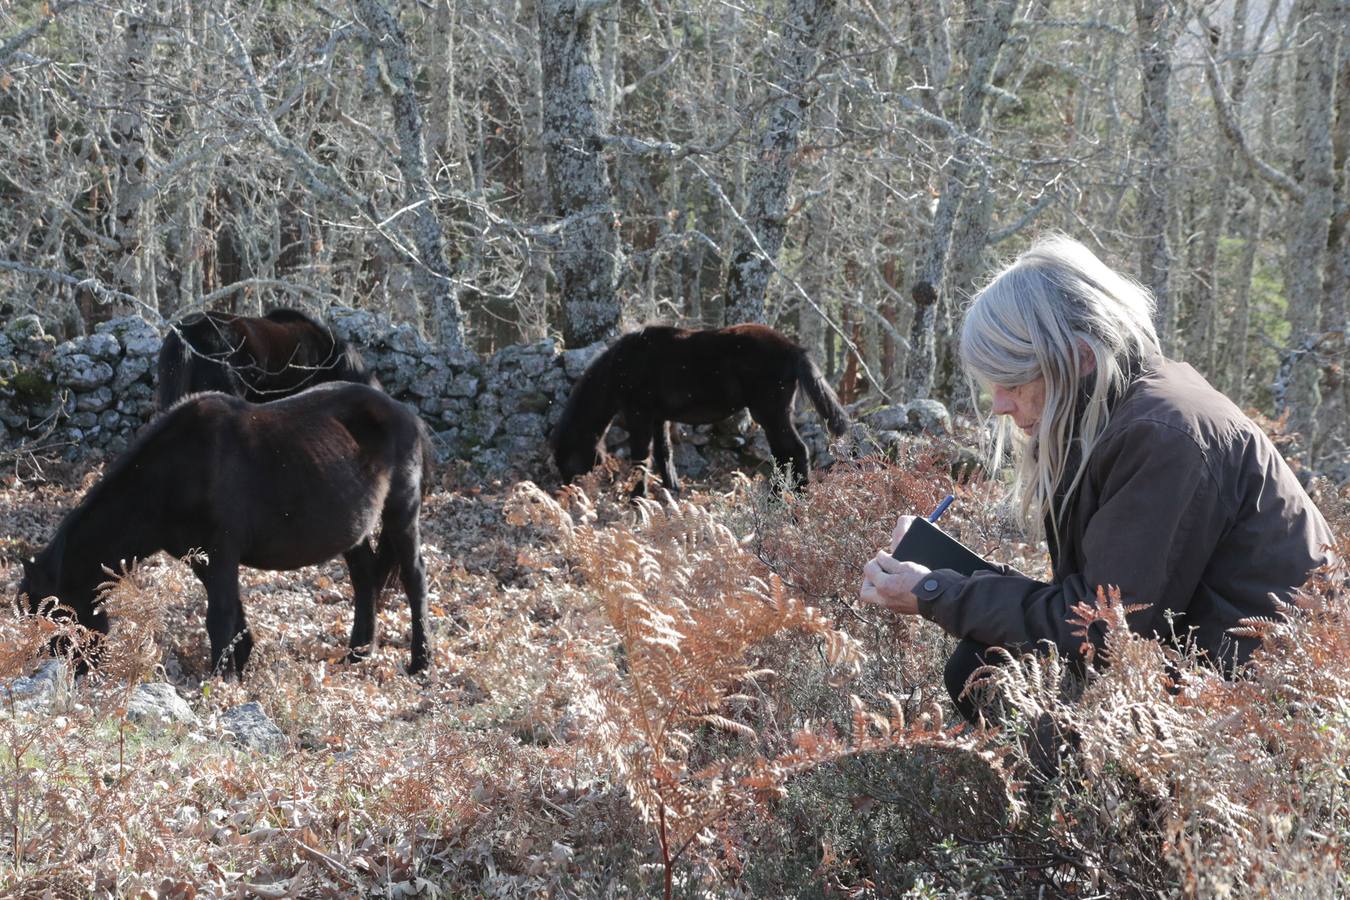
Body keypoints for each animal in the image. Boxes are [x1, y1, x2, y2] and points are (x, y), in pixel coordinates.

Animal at [18, 382, 434, 677]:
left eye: (58, 617)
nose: (62, 674)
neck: (176, 471)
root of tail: (406, 414)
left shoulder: (221, 552)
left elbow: (218, 614)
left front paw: (221, 679)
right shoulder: (202, 557)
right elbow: (232, 610)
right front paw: (240, 663)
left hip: (401, 513)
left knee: (414, 579)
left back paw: (420, 663)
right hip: (354, 531)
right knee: (364, 581)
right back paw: (358, 654)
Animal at [552, 324, 850, 494]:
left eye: (567, 459)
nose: (571, 493)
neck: (621, 367)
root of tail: (792, 349)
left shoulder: (640, 415)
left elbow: (641, 458)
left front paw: (638, 499)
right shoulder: (659, 418)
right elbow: (664, 454)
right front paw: (672, 491)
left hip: (770, 413)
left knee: (794, 451)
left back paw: (791, 500)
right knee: (783, 454)